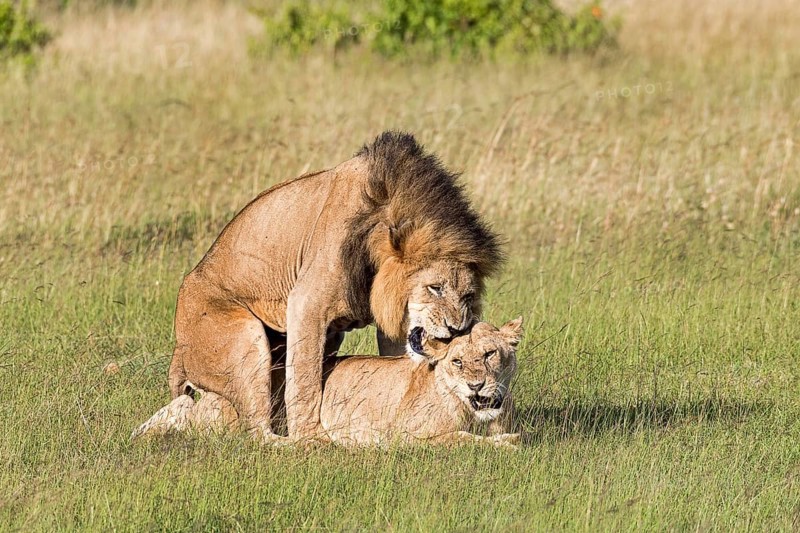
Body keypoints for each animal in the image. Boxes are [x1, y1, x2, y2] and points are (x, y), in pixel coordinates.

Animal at [134, 318, 522, 447]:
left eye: (489, 354)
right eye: (457, 361)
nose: (476, 386)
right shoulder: (408, 436)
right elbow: (463, 440)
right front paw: (507, 444)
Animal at [166, 131, 503, 442]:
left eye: (468, 296)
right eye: (434, 288)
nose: (457, 329)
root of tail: (179, 351)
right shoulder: (305, 305)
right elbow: (304, 381)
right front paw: (310, 436)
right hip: (244, 341)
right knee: (258, 432)